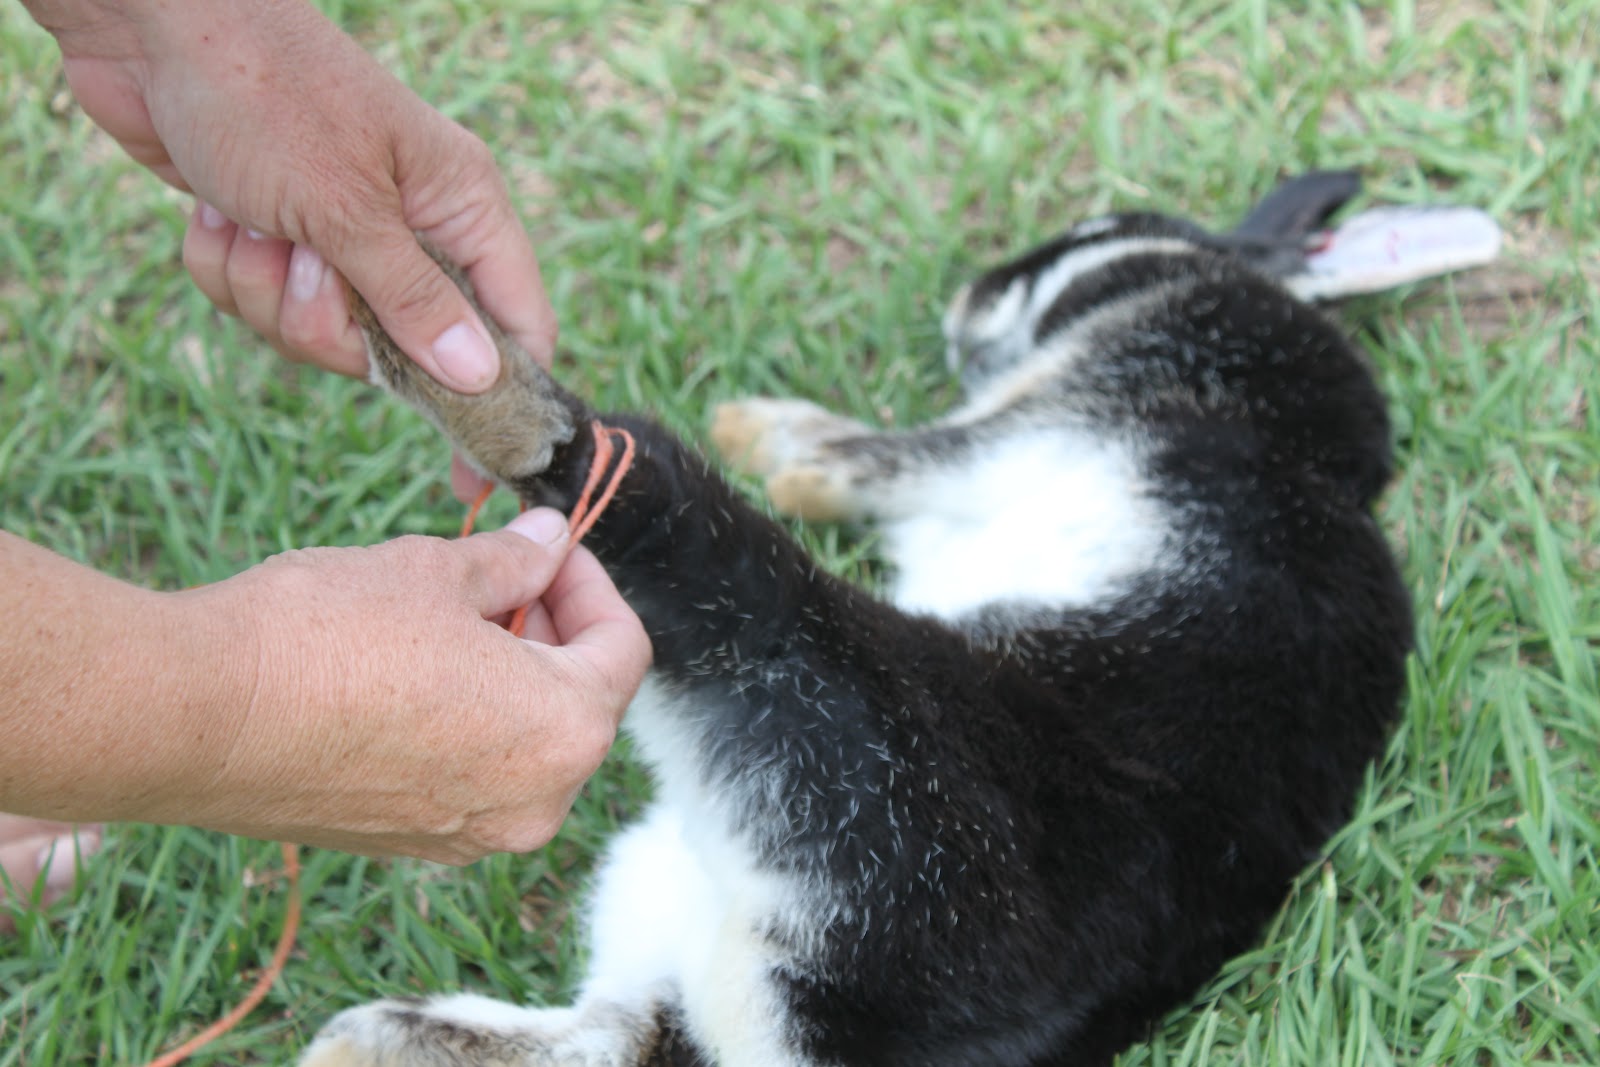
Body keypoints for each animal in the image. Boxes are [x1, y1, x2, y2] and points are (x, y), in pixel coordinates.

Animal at [298, 171, 1492, 1067]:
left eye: (1100, 236)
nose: (968, 304)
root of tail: (821, 1012)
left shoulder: (1065, 404)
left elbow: (888, 456)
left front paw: (772, 439)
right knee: (607, 1037)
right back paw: (369, 1038)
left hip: (847, 724)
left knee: (629, 493)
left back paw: (463, 362)